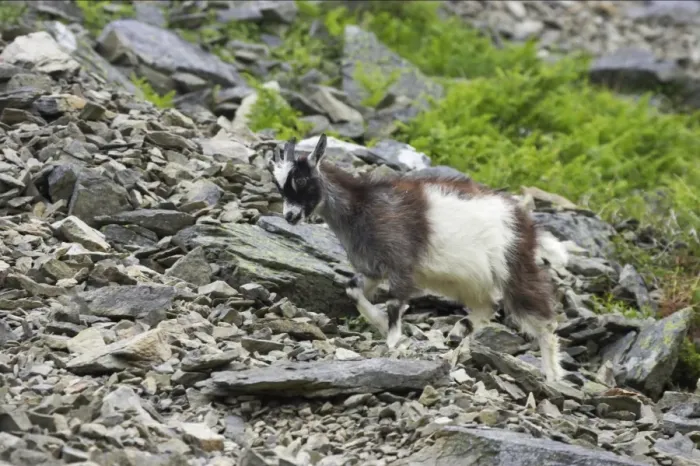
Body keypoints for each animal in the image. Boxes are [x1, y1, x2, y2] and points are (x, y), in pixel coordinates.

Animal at [267, 133, 567, 382]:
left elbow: (394, 304)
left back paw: (553, 373)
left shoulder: (401, 263)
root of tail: (529, 225)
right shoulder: (374, 268)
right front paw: (380, 324)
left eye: (302, 180)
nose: (290, 216)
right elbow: (353, 289)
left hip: (513, 267)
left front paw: (392, 341)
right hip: (470, 281)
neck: (362, 206)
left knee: (543, 318)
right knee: (488, 306)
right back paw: (460, 330)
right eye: (279, 186)